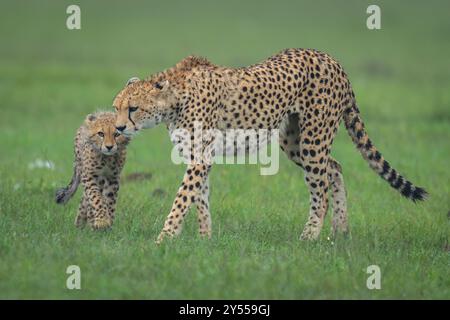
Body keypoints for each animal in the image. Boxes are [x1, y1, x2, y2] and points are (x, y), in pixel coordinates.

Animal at [111, 48, 426, 242]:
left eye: (133, 108)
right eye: (116, 108)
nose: (118, 128)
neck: (175, 99)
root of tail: (331, 59)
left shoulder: (199, 157)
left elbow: (182, 198)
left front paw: (163, 239)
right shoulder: (198, 156)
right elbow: (200, 198)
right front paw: (204, 238)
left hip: (313, 139)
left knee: (320, 188)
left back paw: (310, 236)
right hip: (294, 140)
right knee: (335, 168)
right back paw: (341, 231)